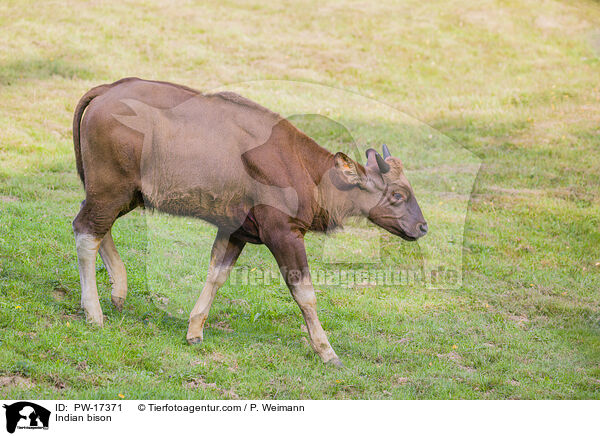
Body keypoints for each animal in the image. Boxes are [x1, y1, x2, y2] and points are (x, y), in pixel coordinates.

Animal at [72, 77, 426, 364]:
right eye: (397, 195)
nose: (422, 226)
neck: (305, 171)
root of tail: (108, 89)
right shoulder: (283, 234)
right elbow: (305, 293)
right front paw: (327, 351)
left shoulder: (236, 232)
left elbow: (217, 275)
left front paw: (195, 330)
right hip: (111, 189)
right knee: (86, 231)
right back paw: (94, 313)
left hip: (125, 194)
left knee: (97, 227)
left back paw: (118, 291)